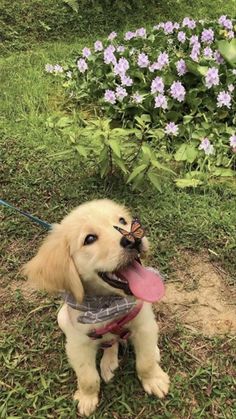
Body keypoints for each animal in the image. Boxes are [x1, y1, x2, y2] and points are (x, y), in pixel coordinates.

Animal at [23, 200, 169, 416]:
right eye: (89, 238)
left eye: (122, 221)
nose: (133, 239)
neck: (108, 305)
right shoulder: (78, 345)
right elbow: (88, 377)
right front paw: (87, 398)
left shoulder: (144, 324)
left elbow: (146, 361)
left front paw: (154, 379)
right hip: (62, 318)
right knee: (109, 343)